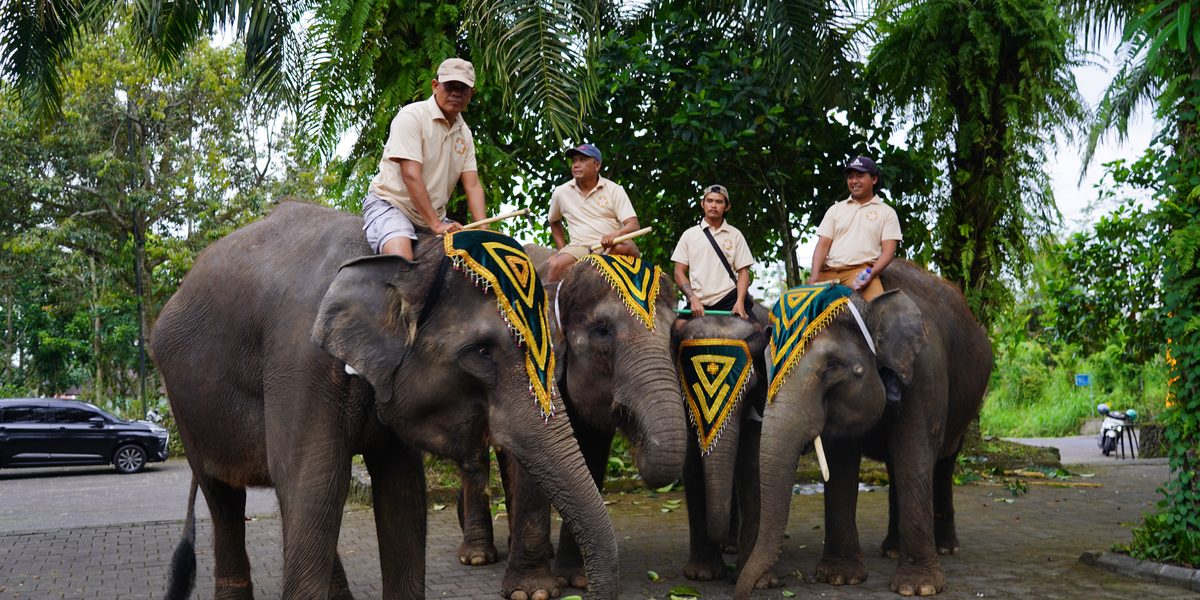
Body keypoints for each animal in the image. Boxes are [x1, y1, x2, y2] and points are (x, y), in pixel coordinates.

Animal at [152, 201, 619, 600]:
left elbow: (402, 494)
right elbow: (317, 485)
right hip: (184, 403)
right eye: (482, 352)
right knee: (226, 500)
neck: (405, 258)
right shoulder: (299, 359)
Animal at [454, 245, 688, 600]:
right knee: (475, 457)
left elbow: (592, 454)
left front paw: (576, 579)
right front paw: (531, 592)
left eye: (674, 333)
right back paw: (478, 556)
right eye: (602, 331)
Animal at [734, 259, 993, 599]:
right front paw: (839, 578)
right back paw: (892, 549)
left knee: (944, 461)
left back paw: (947, 548)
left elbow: (914, 454)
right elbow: (843, 462)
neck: (870, 306)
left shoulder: (925, 371)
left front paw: (918, 587)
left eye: (832, 367)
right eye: (766, 366)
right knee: (898, 467)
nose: (765, 585)